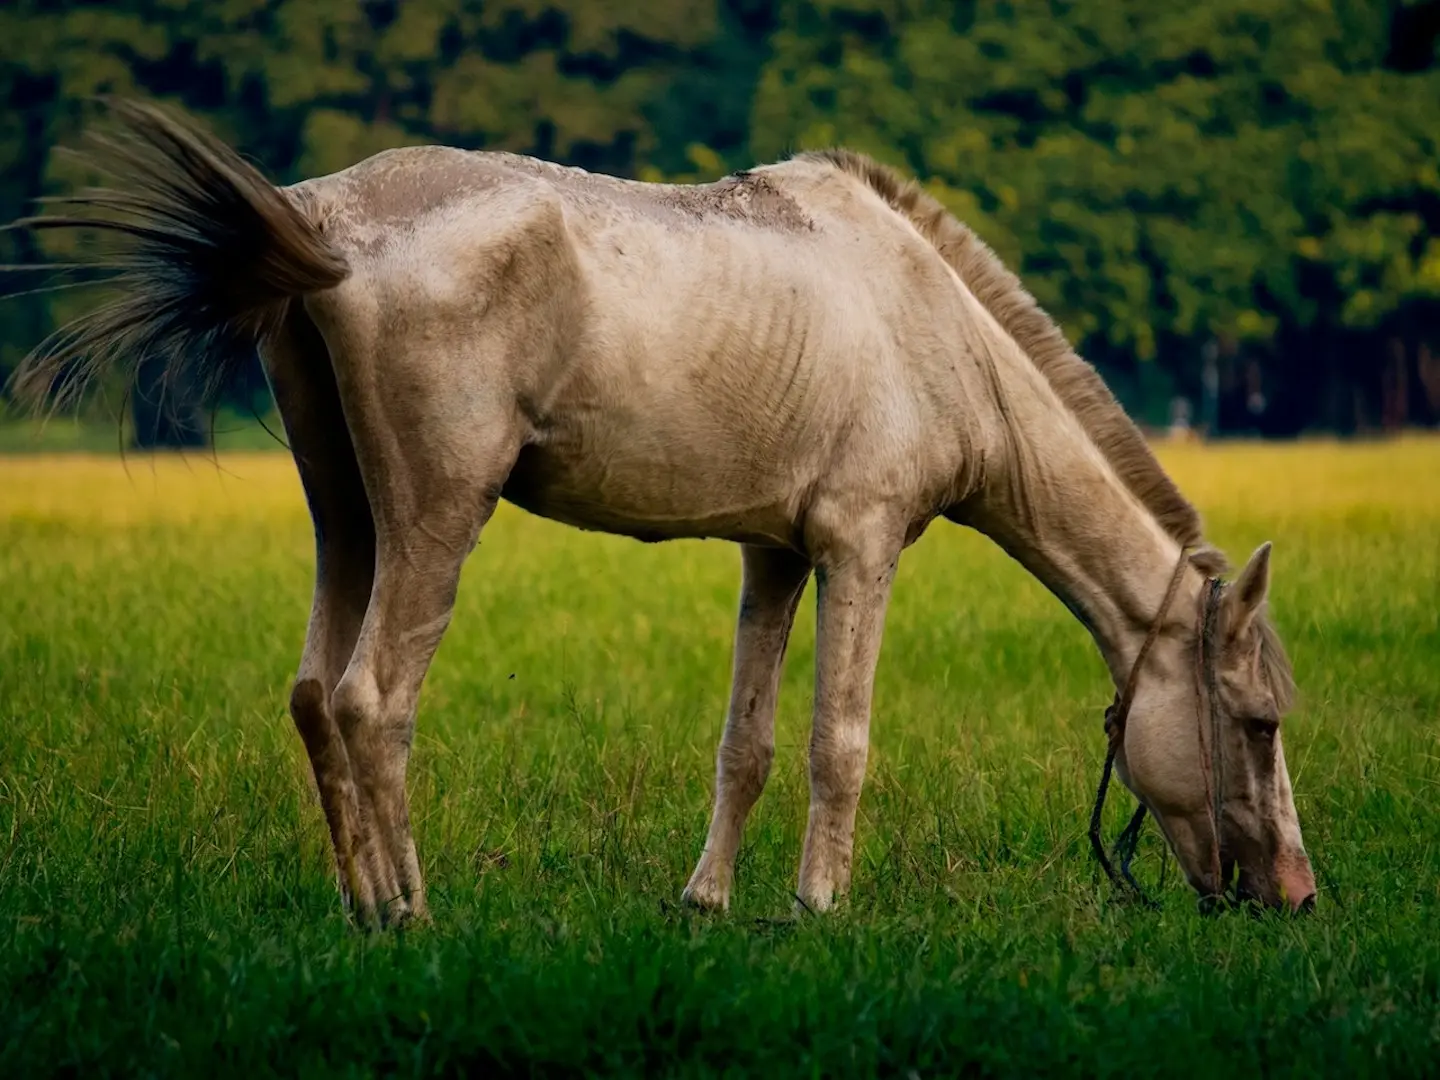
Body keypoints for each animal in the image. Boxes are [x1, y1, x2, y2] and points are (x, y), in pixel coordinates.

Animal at [8, 103, 1319, 933]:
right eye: (1256, 722)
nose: (1299, 896)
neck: (932, 328)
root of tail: (322, 221)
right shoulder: (860, 547)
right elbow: (839, 743)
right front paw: (818, 908)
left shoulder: (775, 556)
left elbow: (747, 745)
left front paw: (709, 903)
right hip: (432, 518)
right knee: (373, 701)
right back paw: (409, 914)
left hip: (348, 519)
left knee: (312, 696)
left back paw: (356, 904)